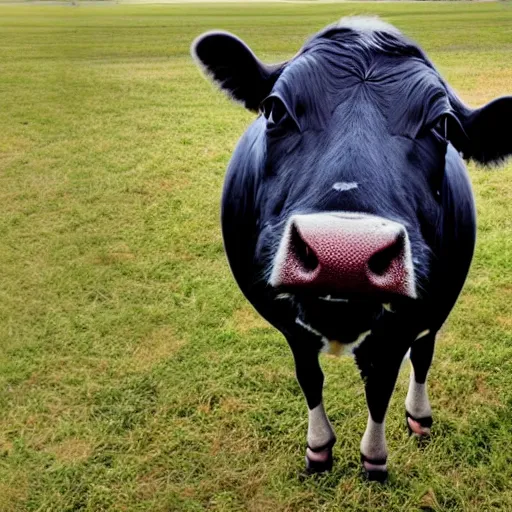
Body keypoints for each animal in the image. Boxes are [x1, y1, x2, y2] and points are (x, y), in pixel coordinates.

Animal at [190, 16, 510, 480]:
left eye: (443, 126)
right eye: (275, 109)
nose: (344, 255)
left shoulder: (405, 326)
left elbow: (380, 388)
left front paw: (374, 460)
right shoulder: (291, 329)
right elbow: (309, 378)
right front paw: (318, 450)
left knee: (423, 355)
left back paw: (419, 419)